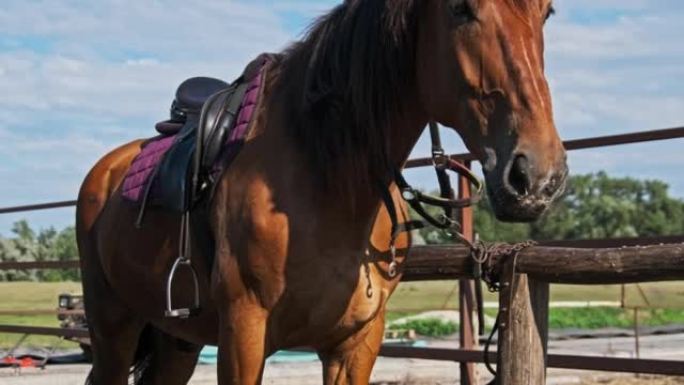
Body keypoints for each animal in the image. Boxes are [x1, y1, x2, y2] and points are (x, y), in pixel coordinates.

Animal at [76, 1, 568, 382]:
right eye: (460, 8)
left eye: (547, 12)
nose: (537, 175)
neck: (327, 180)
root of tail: (106, 171)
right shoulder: (243, 337)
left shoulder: (355, 344)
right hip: (113, 331)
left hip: (177, 341)